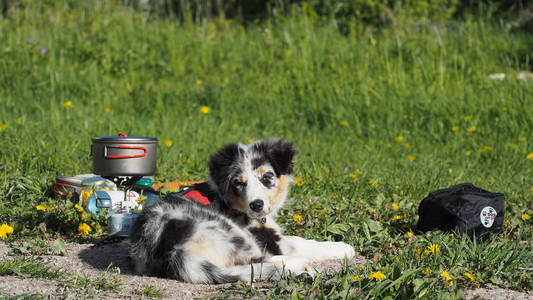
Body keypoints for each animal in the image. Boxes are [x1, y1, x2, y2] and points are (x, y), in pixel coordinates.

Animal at [128, 138, 354, 284]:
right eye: (238, 182)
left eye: (267, 177)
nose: (256, 205)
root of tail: (171, 251)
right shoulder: (269, 239)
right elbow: (301, 242)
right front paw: (342, 248)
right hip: (230, 231)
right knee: (255, 262)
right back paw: (295, 265)